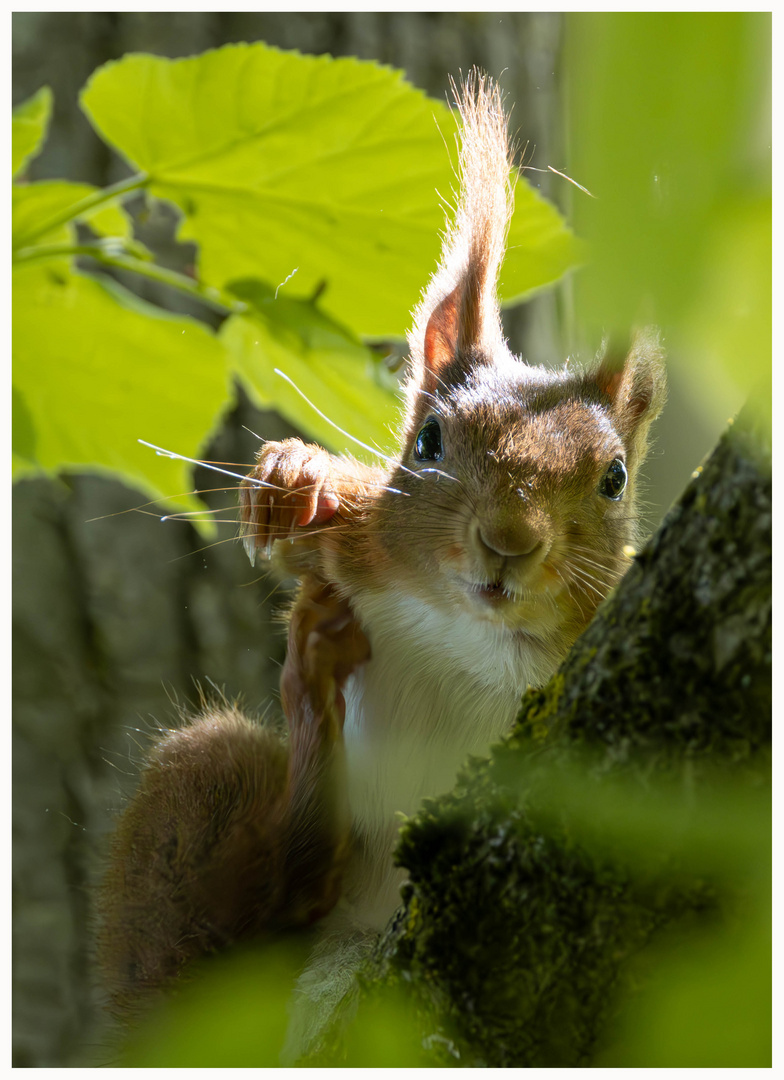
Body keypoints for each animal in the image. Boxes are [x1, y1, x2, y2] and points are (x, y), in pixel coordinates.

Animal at [95, 71, 665, 1015]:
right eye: (429, 441)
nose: (508, 541)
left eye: (615, 477)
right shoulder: (359, 548)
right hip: (201, 790)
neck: (476, 637)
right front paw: (297, 478)